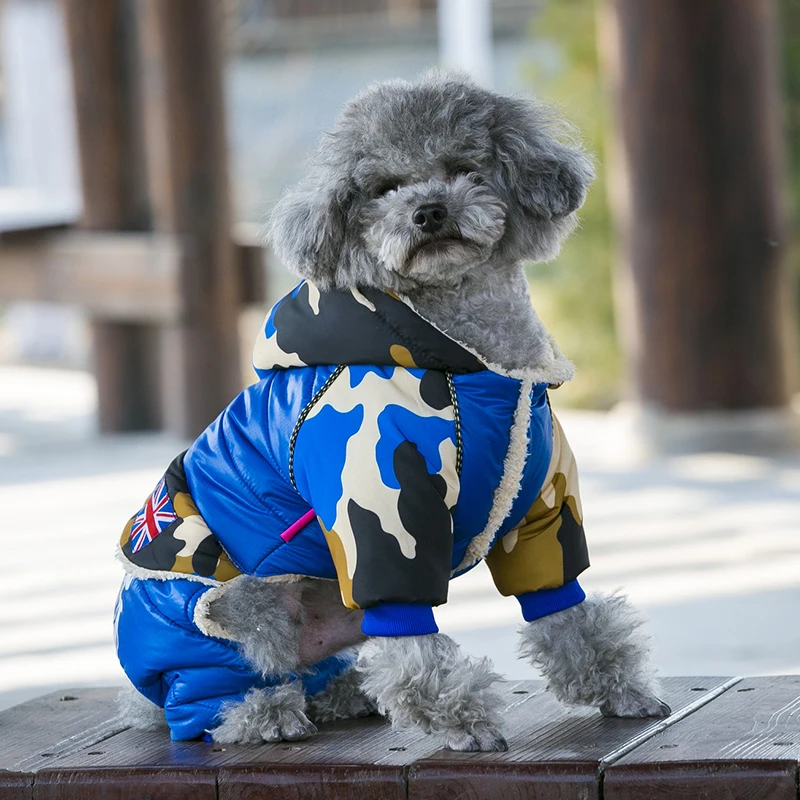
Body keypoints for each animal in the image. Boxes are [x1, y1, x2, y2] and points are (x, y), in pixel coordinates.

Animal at [119, 69, 668, 752]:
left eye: (464, 169)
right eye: (383, 189)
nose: (428, 211)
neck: (473, 365)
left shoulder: (539, 507)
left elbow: (564, 606)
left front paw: (618, 687)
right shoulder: (380, 516)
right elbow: (413, 646)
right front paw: (462, 719)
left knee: (304, 674)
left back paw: (339, 693)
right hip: (223, 616)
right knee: (206, 696)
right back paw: (264, 713)